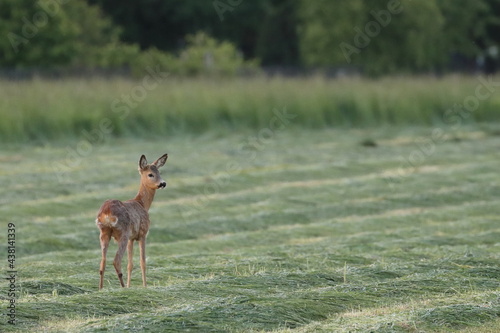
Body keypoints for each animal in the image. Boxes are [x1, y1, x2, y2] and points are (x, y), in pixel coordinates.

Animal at [95, 153, 168, 288]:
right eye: (150, 174)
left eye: (159, 172)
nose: (163, 183)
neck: (142, 204)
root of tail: (107, 212)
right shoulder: (142, 234)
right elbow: (142, 262)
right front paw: (144, 286)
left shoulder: (131, 238)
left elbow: (130, 264)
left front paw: (131, 285)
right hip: (123, 232)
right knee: (116, 261)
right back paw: (123, 287)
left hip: (104, 232)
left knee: (102, 262)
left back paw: (101, 289)